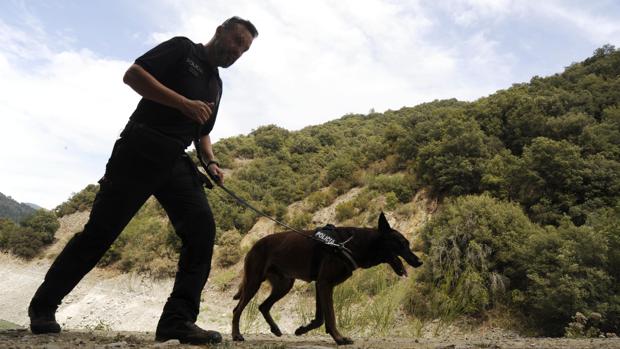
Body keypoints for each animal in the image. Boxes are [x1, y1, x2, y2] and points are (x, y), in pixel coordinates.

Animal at [230, 211, 424, 344]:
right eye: (402, 243)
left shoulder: (321, 285)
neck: (354, 244)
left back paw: (275, 329)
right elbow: (330, 315)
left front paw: (302, 330)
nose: (419, 261)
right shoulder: (324, 284)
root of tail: (254, 245)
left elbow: (320, 318)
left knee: (263, 306)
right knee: (237, 309)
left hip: (284, 285)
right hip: (254, 282)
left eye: (408, 244)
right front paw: (339, 339)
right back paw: (236, 335)